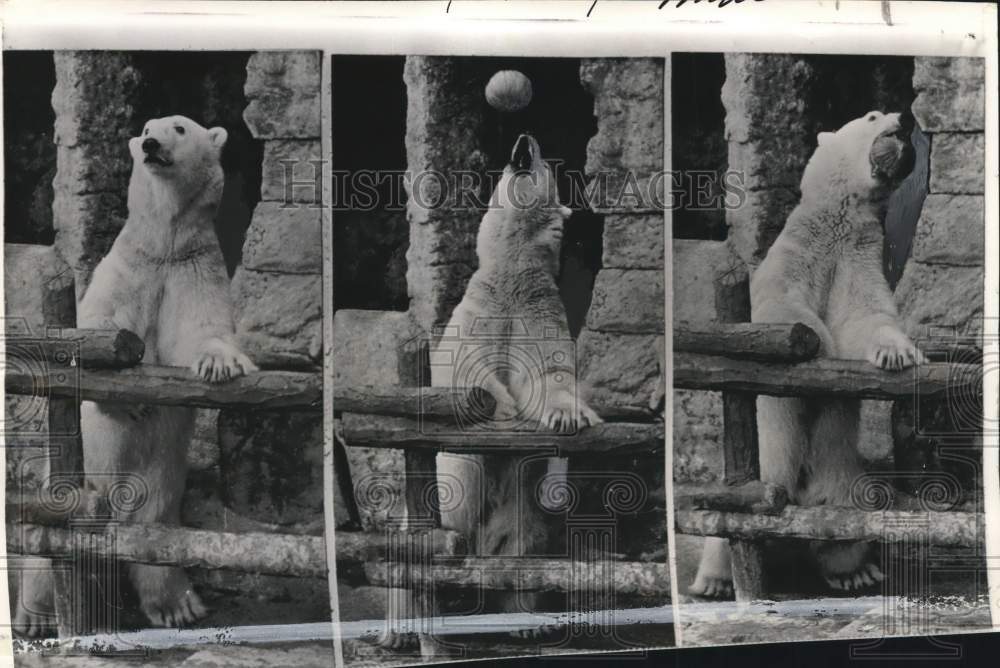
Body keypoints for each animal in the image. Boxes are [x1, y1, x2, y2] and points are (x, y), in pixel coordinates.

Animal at [14, 115, 257, 636]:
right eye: (145, 126)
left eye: (179, 128)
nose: (149, 144)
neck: (164, 244)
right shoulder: (129, 267)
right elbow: (96, 334)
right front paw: (133, 399)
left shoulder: (194, 269)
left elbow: (204, 331)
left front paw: (221, 364)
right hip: (71, 478)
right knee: (47, 540)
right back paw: (36, 616)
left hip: (160, 476)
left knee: (156, 527)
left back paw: (178, 604)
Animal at [376, 134, 602, 649]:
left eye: (544, 165)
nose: (525, 141)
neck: (512, 273)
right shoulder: (478, 315)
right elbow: (468, 378)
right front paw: (499, 409)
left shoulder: (538, 314)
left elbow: (549, 377)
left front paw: (570, 416)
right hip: (439, 505)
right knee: (410, 551)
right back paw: (398, 630)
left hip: (515, 516)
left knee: (525, 552)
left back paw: (524, 620)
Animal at [691, 110, 925, 598]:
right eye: (873, 115)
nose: (904, 117)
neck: (837, 221)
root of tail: (797, 495)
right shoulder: (797, 251)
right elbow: (781, 311)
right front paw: (815, 342)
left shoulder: (858, 256)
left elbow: (865, 315)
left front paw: (899, 355)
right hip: (761, 466)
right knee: (729, 517)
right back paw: (713, 582)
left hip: (842, 476)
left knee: (848, 523)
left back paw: (856, 572)